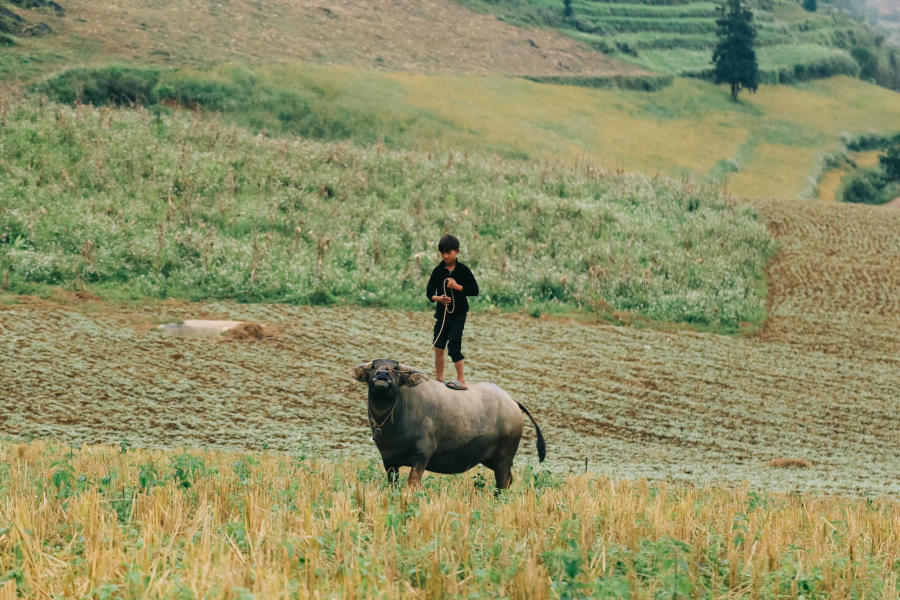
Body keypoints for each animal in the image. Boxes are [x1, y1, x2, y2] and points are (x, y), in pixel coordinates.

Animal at [352, 356, 548, 488]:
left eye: (395, 368)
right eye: (373, 366)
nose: (382, 374)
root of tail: (512, 402)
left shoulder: (421, 457)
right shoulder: (389, 461)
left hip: (504, 460)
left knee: (503, 484)